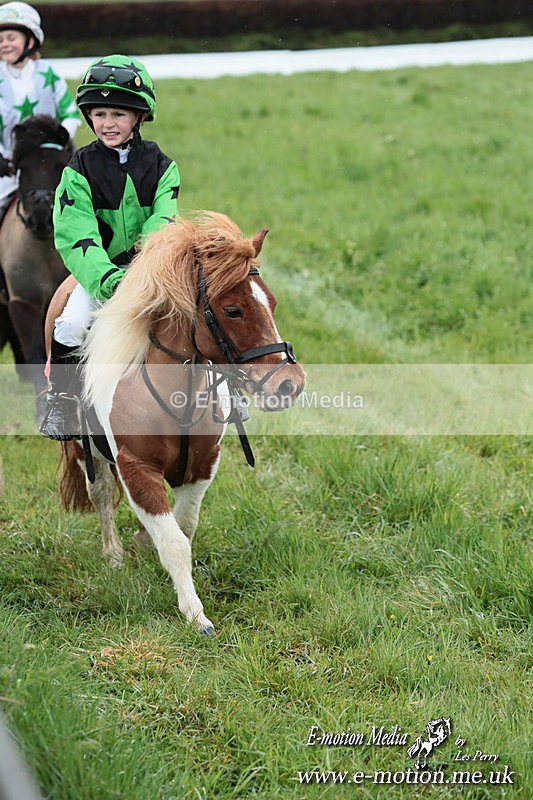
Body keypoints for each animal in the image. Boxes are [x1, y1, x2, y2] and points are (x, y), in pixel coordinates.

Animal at [45, 212, 306, 634]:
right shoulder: (137, 469)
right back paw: (114, 555)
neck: (173, 399)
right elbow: (173, 541)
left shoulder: (202, 466)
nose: (290, 383)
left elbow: (182, 528)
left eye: (273, 302)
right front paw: (196, 615)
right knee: (101, 494)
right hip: (86, 450)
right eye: (233, 310)